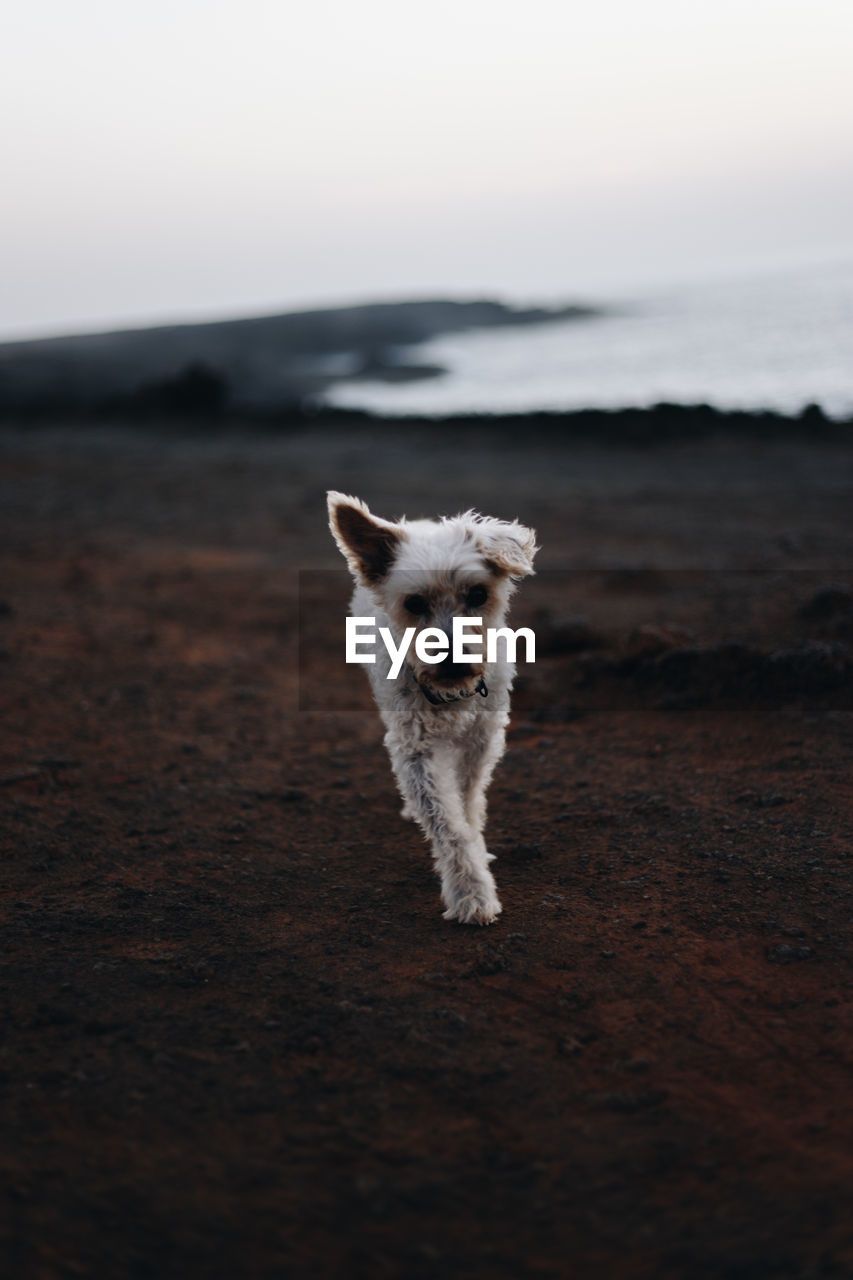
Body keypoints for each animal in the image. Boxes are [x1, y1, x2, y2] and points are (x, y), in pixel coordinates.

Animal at [326, 486, 535, 921]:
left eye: (478, 594)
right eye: (414, 604)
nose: (453, 659)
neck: (452, 693)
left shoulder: (481, 741)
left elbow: (467, 801)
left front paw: (476, 849)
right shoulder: (414, 747)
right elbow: (447, 821)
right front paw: (471, 893)